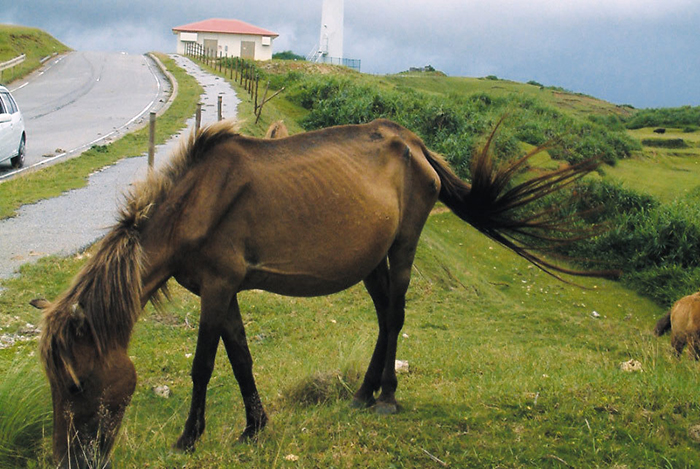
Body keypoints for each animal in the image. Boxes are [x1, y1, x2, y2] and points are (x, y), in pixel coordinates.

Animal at [34, 119, 600, 466]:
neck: (194, 204)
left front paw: (188, 438)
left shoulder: (217, 288)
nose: (67, 460)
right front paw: (254, 427)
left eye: (76, 386)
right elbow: (241, 358)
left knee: (396, 316)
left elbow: (204, 365)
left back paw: (386, 398)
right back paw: (362, 393)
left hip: (404, 246)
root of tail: (415, 144)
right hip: (371, 260)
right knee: (383, 319)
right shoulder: (227, 291)